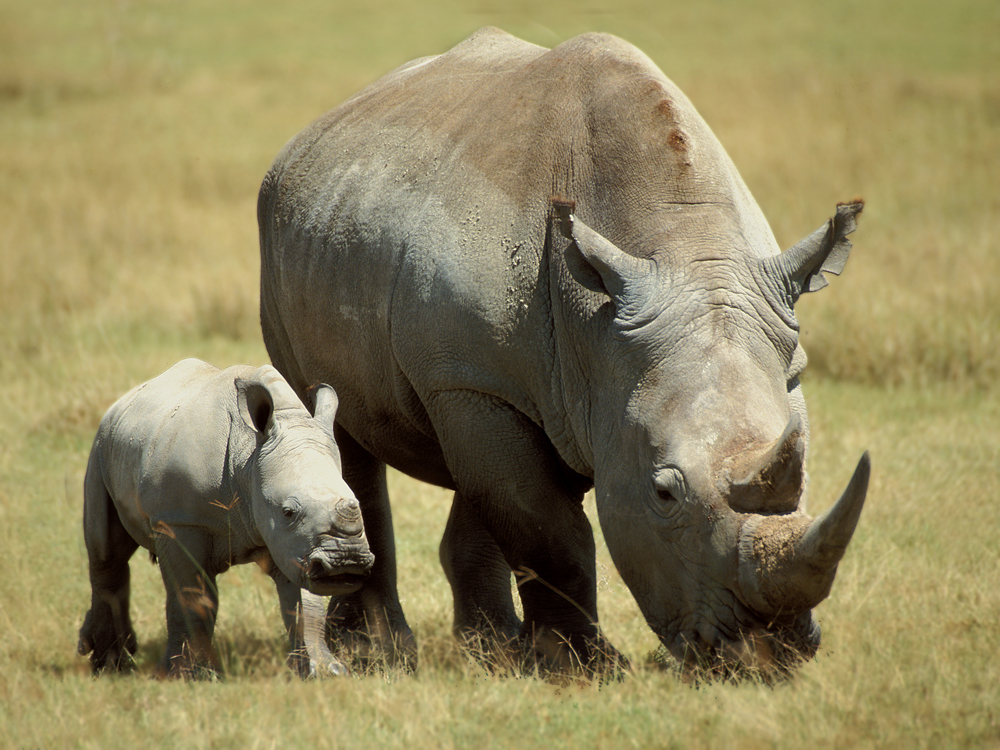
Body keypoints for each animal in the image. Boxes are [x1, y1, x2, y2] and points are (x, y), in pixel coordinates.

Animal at [77, 358, 374, 678]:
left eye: (356, 504)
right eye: (288, 511)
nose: (346, 561)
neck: (248, 458)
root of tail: (122, 402)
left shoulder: (294, 544)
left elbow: (305, 604)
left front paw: (325, 672)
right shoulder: (181, 521)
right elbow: (192, 598)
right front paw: (188, 676)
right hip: (100, 446)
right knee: (107, 551)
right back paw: (109, 666)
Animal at [257, 28, 870, 678]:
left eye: (803, 480)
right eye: (664, 493)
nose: (765, 658)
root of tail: (311, 135)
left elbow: (524, 510)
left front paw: (539, 659)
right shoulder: (474, 381)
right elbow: (548, 531)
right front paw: (585, 667)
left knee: (476, 480)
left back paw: (491, 650)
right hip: (288, 242)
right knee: (341, 427)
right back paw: (379, 652)